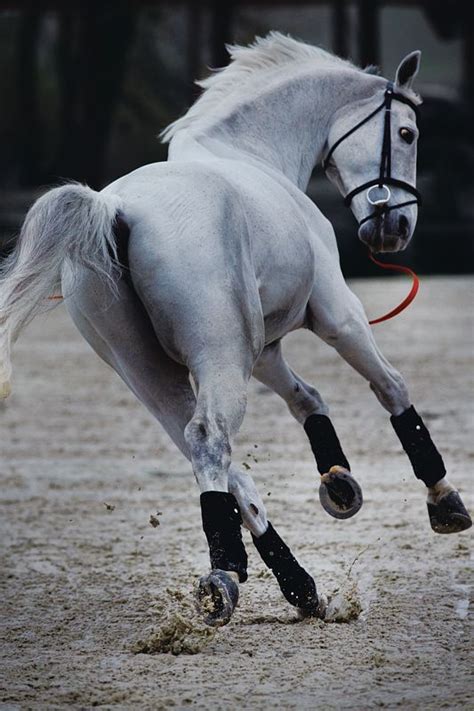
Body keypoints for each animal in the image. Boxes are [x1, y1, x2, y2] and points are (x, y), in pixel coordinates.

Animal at [1, 33, 470, 624]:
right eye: (408, 133)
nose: (396, 228)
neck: (248, 152)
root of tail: (115, 207)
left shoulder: (264, 349)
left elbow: (306, 397)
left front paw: (339, 484)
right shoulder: (338, 315)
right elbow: (390, 386)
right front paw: (443, 499)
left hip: (147, 370)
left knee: (216, 460)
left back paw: (298, 586)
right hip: (220, 359)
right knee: (210, 440)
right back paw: (226, 576)